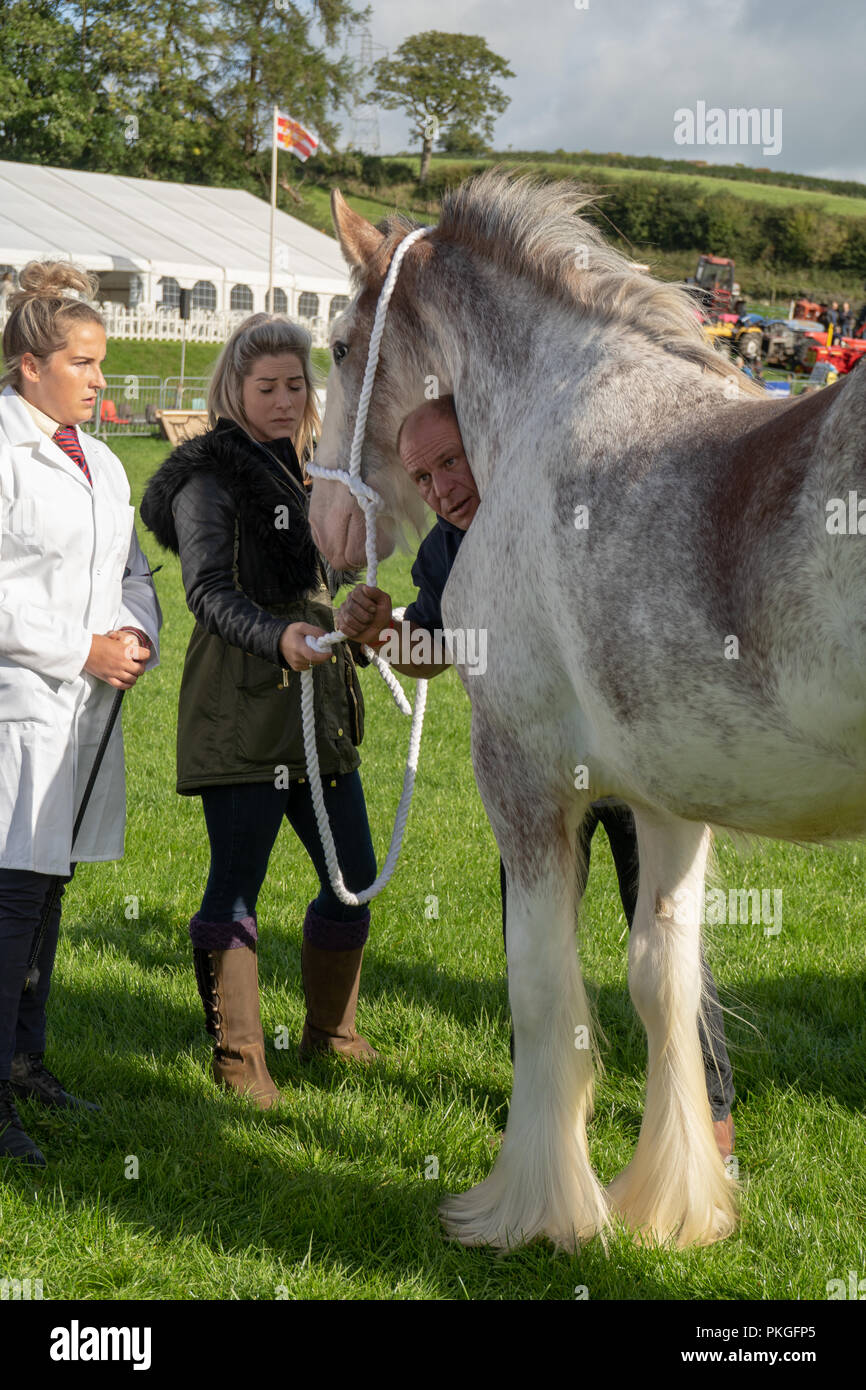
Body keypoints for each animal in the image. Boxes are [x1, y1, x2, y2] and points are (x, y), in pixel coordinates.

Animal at [308, 168, 861, 1256]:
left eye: (341, 346)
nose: (321, 521)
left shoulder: (519, 773)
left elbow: (542, 987)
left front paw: (531, 1209)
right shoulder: (668, 799)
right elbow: (663, 984)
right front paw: (673, 1204)